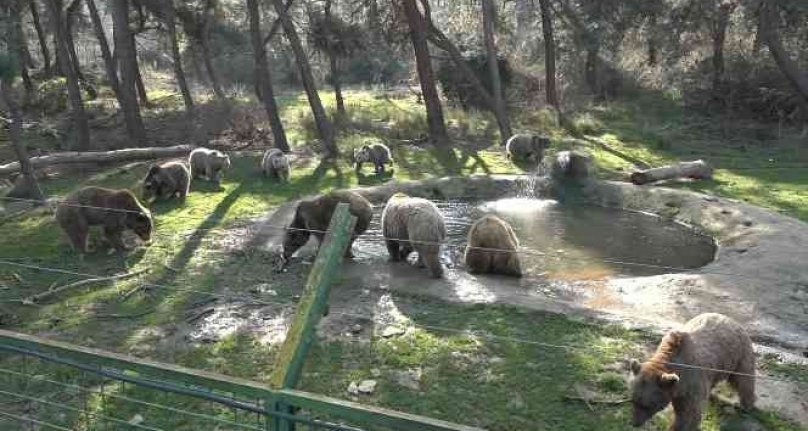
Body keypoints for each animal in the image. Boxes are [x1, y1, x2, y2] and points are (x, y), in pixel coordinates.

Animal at [628, 314, 756, 431]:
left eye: (647, 405)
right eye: (634, 401)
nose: (634, 423)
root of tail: (729, 318)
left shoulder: (691, 383)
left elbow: (689, 413)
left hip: (738, 355)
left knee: (743, 380)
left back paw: (746, 406)